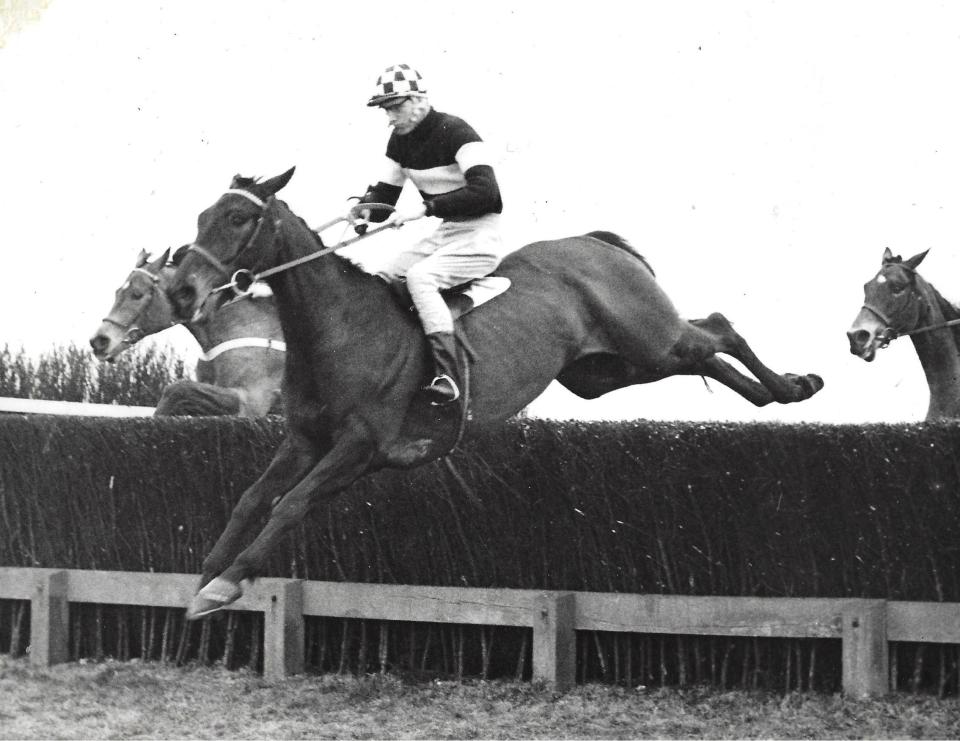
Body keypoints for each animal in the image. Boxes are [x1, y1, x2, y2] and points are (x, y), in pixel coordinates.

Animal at [167, 169, 824, 620]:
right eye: (200, 216)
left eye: (236, 219)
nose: (180, 291)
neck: (340, 327)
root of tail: (596, 244)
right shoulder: (306, 439)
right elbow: (251, 498)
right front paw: (205, 577)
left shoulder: (359, 447)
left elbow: (290, 505)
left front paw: (227, 582)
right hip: (605, 372)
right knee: (706, 351)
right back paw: (778, 392)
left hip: (650, 339)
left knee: (718, 327)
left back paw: (796, 385)